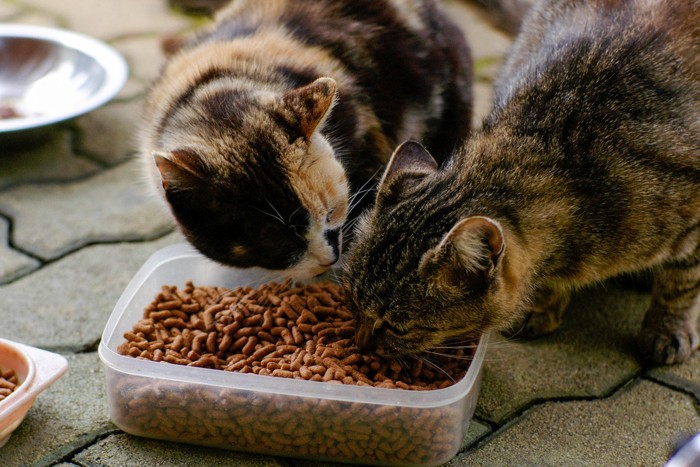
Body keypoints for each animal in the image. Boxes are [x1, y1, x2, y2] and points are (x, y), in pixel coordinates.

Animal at [344, 0, 700, 366]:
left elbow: (682, 283)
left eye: (397, 327)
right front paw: (543, 304)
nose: (360, 343)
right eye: (352, 300)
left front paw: (667, 328)